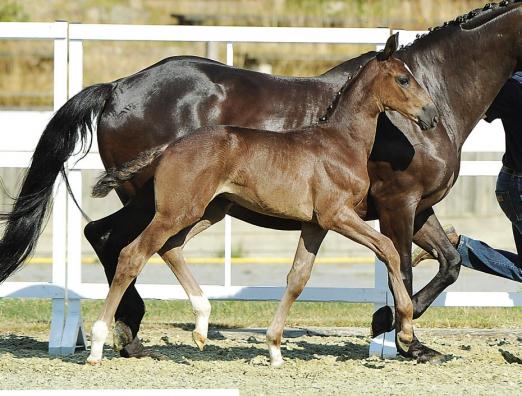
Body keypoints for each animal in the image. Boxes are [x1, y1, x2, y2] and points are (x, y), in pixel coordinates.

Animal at [87, 34, 436, 366]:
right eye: (403, 79)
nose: (430, 115)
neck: (340, 143)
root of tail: (168, 148)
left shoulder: (315, 224)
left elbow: (297, 278)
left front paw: (275, 350)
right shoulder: (337, 215)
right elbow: (389, 250)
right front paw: (406, 330)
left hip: (207, 211)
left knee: (169, 247)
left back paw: (201, 326)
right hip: (176, 211)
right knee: (132, 254)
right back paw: (98, 344)